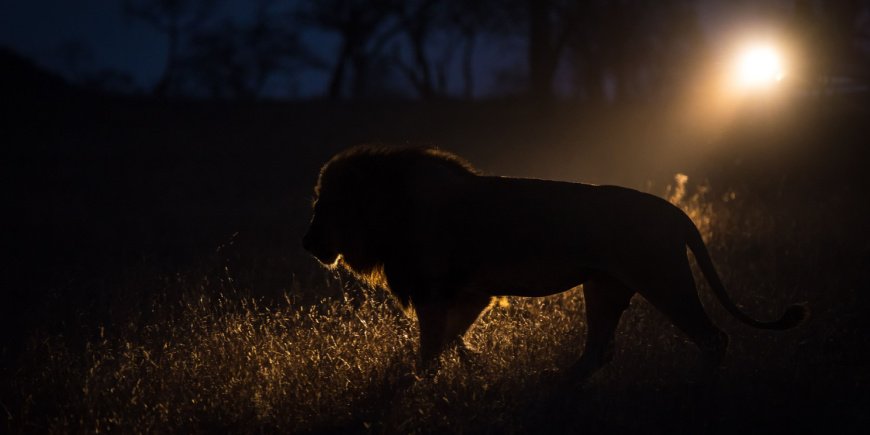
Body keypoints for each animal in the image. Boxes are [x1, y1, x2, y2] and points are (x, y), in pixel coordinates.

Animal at [304, 146, 808, 382]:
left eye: (322, 205)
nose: (306, 243)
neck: (389, 208)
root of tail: (675, 212)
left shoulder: (434, 290)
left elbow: (431, 346)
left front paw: (420, 384)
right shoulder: (471, 292)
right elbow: (450, 340)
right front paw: (470, 370)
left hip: (664, 280)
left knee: (713, 337)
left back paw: (695, 390)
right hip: (603, 287)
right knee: (598, 351)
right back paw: (555, 385)